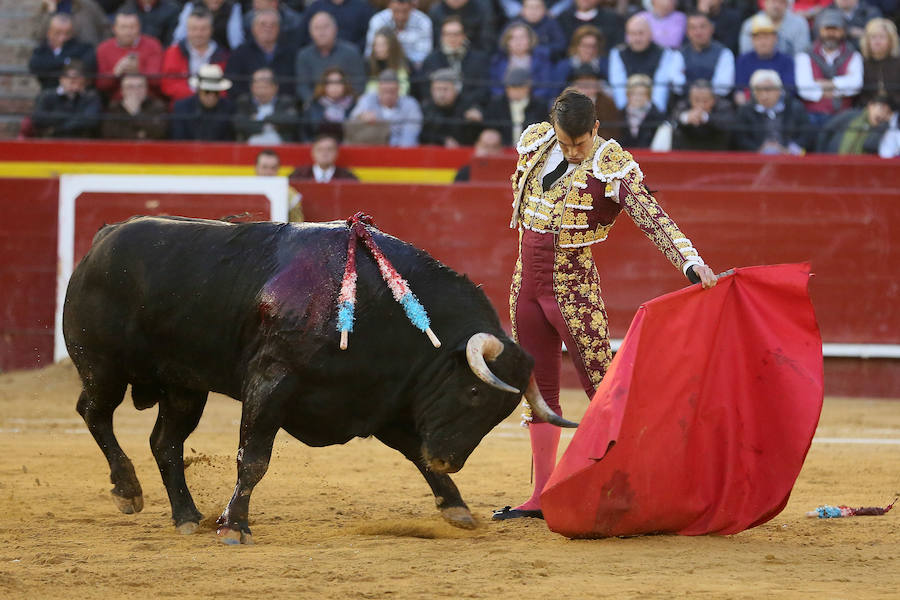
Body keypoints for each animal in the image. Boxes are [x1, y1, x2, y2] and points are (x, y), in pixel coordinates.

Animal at [63, 216, 572, 544]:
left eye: (499, 414)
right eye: (471, 391)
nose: (449, 458)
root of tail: (102, 239)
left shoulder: (378, 402)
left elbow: (415, 454)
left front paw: (457, 507)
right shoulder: (270, 382)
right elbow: (253, 459)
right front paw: (234, 526)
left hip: (185, 386)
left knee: (165, 442)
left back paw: (187, 517)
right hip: (103, 367)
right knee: (94, 412)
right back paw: (128, 491)